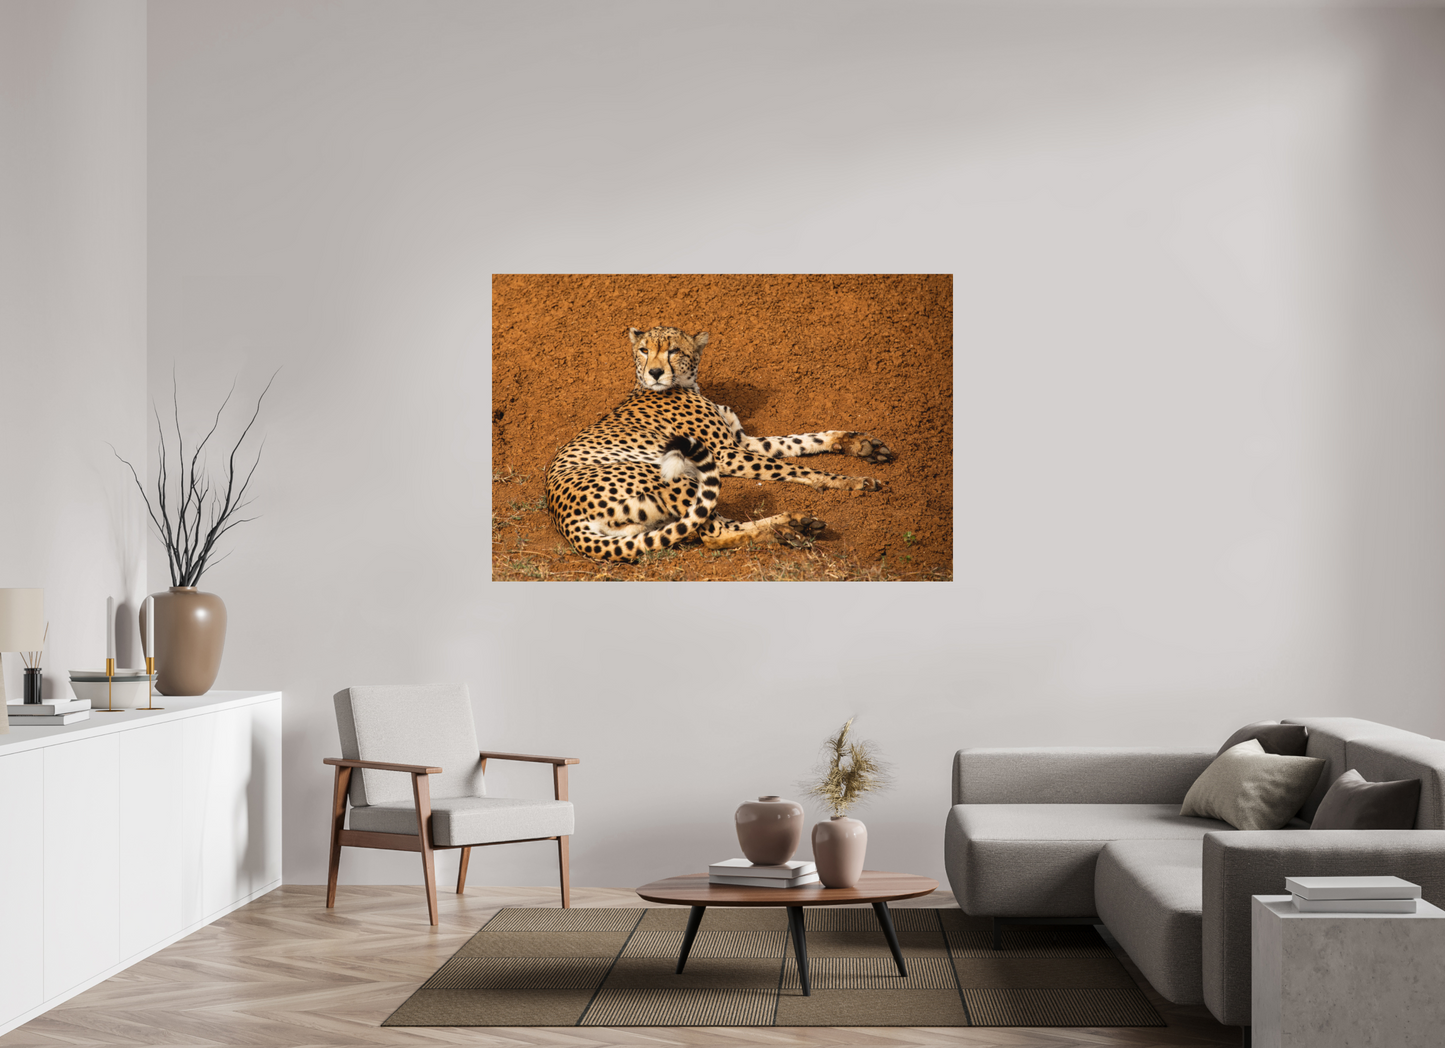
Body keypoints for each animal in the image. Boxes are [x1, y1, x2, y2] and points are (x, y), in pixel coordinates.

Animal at [545, 325, 893, 563]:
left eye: (673, 351)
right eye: (644, 350)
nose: (655, 372)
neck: (685, 384)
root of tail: (563, 518)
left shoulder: (742, 442)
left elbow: (799, 441)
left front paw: (859, 444)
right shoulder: (724, 453)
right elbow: (794, 466)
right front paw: (850, 481)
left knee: (709, 527)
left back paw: (791, 527)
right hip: (673, 477)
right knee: (713, 533)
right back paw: (788, 527)